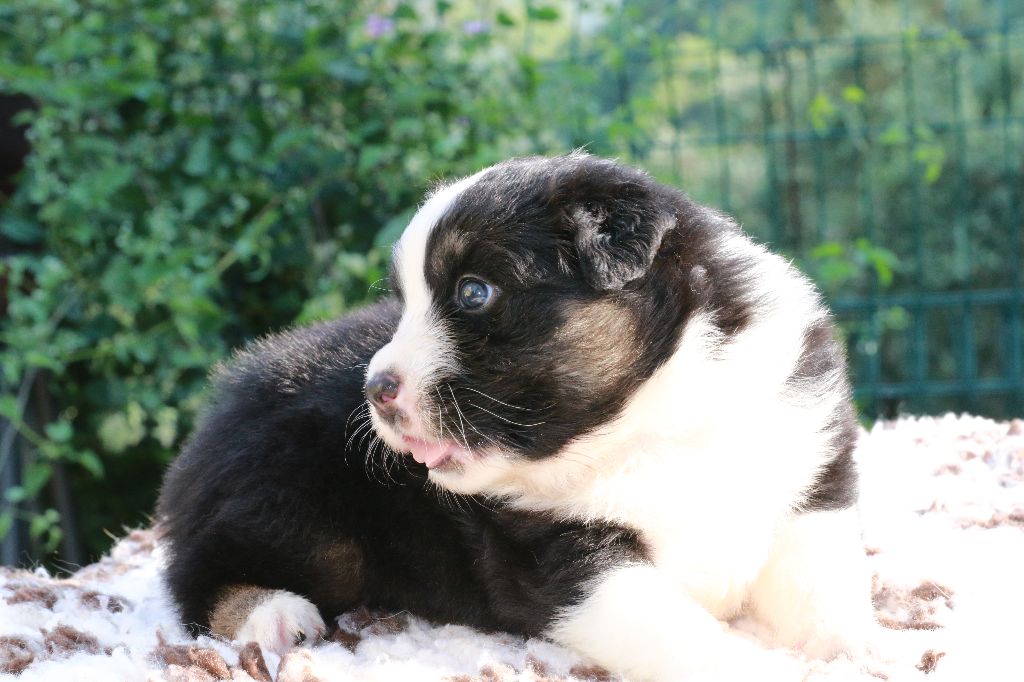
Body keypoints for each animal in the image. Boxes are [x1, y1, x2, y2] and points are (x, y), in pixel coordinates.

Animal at [158, 153, 875, 680]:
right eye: (406, 302)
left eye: (474, 293)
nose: (375, 390)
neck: (650, 420)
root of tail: (218, 412)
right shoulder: (557, 558)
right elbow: (673, 630)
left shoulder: (811, 477)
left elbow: (827, 589)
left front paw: (858, 654)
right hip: (295, 503)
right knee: (196, 569)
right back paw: (270, 614)